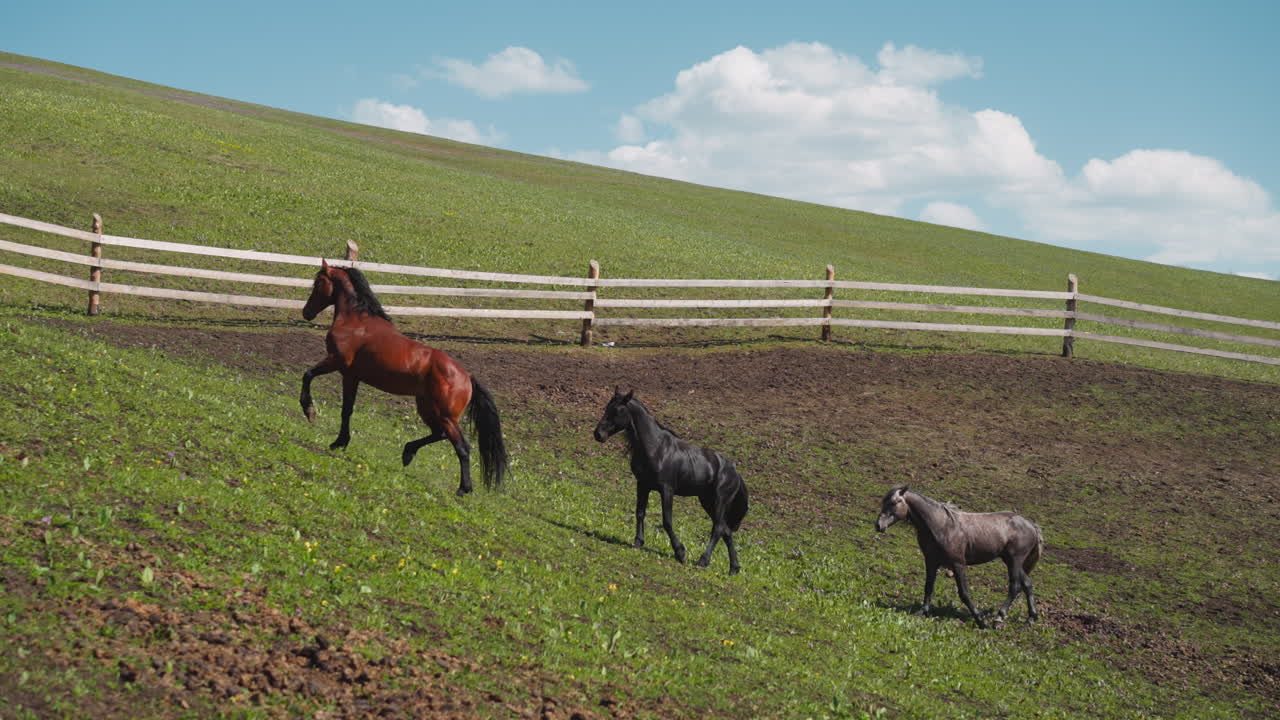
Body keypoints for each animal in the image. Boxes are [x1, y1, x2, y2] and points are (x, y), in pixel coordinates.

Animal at [299, 259, 509, 496]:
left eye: (318, 282)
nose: (306, 312)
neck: (356, 321)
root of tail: (467, 377)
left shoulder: (337, 363)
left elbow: (308, 375)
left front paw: (310, 412)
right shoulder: (352, 376)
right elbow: (347, 410)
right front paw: (340, 442)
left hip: (445, 415)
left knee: (462, 446)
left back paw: (464, 488)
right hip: (427, 407)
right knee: (439, 434)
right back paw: (408, 452)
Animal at [593, 388, 749, 574]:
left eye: (618, 410)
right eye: (606, 407)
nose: (598, 434)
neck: (656, 448)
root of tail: (735, 473)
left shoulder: (666, 490)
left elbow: (667, 520)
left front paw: (680, 553)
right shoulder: (642, 485)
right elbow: (640, 512)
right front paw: (638, 542)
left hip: (719, 501)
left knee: (718, 528)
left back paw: (703, 561)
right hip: (707, 501)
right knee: (726, 530)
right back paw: (734, 568)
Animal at [875, 485, 1042, 628]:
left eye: (894, 502)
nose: (879, 525)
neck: (943, 526)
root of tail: (1031, 525)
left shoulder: (958, 564)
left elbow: (964, 593)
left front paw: (980, 620)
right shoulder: (931, 562)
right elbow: (928, 587)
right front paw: (922, 612)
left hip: (1014, 560)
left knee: (1015, 586)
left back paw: (999, 618)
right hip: (1009, 560)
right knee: (1027, 584)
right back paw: (1031, 618)